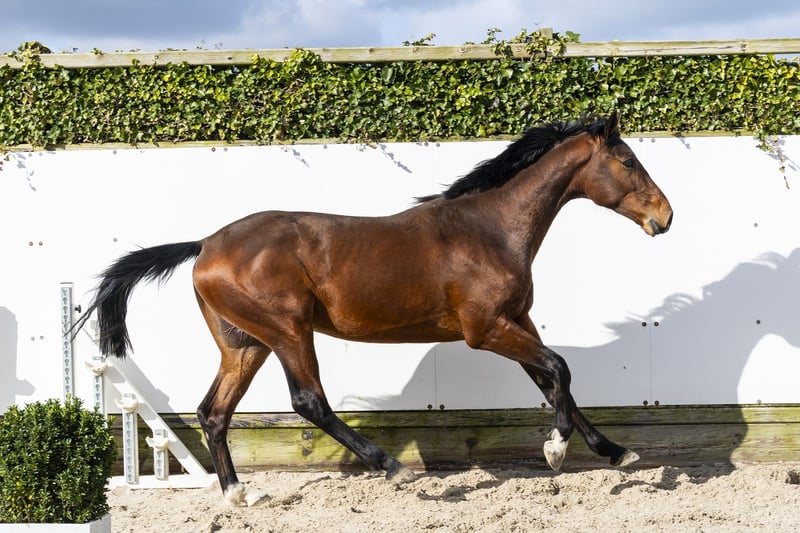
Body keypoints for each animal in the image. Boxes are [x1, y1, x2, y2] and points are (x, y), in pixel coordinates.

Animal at [74, 112, 672, 506]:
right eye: (627, 160)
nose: (665, 217)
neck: (491, 230)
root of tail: (204, 244)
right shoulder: (486, 330)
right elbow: (559, 369)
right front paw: (555, 450)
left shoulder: (515, 321)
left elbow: (553, 381)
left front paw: (615, 452)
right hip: (288, 331)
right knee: (308, 402)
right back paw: (394, 468)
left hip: (245, 344)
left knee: (213, 412)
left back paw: (240, 495)